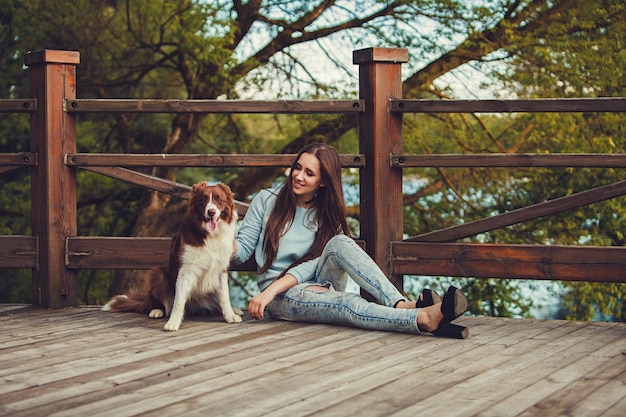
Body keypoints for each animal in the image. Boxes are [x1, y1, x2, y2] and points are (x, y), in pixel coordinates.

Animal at [102, 180, 241, 330]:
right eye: (203, 199)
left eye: (219, 199)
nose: (211, 212)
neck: (211, 236)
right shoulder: (186, 270)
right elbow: (178, 301)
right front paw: (173, 322)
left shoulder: (221, 269)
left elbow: (224, 297)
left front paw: (230, 315)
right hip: (159, 274)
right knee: (159, 302)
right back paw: (156, 310)